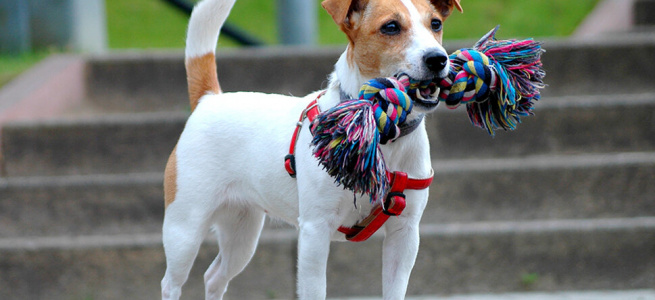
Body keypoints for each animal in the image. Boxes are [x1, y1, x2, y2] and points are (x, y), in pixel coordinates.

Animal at [161, 0, 464, 298]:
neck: (379, 130)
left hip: (241, 232)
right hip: (185, 229)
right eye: (390, 27)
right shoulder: (314, 232)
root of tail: (209, 99)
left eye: (435, 24)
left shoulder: (405, 234)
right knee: (171, 282)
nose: (438, 58)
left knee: (214, 278)